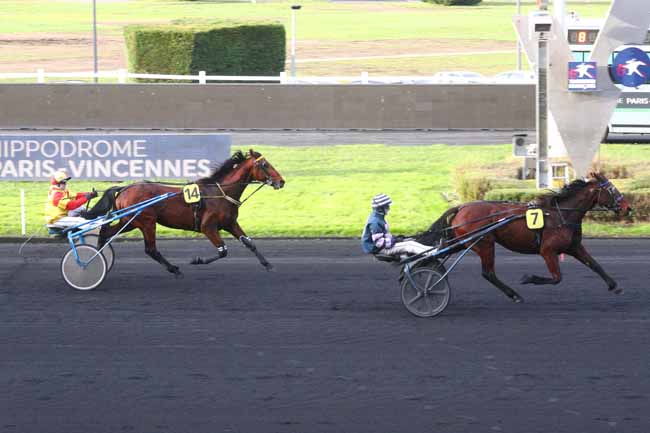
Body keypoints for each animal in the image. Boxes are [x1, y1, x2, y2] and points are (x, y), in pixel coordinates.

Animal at [87, 148, 284, 276]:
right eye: (265, 164)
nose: (281, 182)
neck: (220, 193)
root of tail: (125, 188)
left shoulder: (229, 223)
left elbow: (249, 243)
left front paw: (268, 265)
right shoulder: (208, 227)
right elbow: (222, 250)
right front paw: (197, 260)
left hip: (129, 221)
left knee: (106, 232)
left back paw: (97, 257)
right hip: (146, 222)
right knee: (150, 249)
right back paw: (174, 269)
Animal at [412, 171, 632, 300]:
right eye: (612, 189)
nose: (628, 208)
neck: (561, 214)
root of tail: (461, 207)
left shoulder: (574, 247)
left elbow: (595, 264)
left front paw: (615, 286)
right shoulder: (548, 251)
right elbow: (557, 278)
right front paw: (529, 278)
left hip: (463, 241)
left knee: (439, 253)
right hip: (484, 243)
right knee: (488, 273)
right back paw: (514, 294)